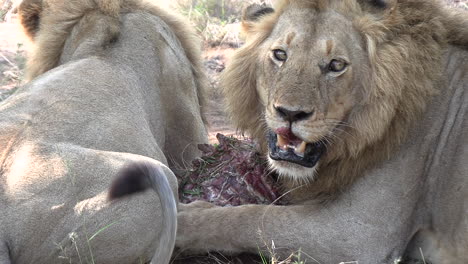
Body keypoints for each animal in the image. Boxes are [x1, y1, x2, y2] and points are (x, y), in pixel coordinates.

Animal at [176, 0, 468, 264]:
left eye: (336, 65)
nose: (290, 113)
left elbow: (256, 218)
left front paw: (183, 219)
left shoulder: (360, 234)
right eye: (280, 55)